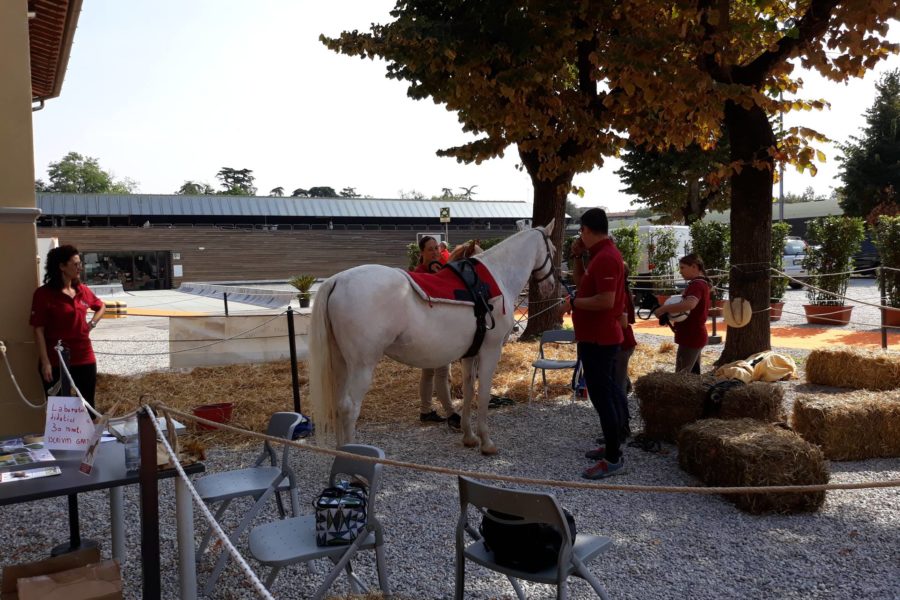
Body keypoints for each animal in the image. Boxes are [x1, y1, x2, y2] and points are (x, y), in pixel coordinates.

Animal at [310, 220, 556, 454]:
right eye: (553, 250)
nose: (550, 287)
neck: (494, 280)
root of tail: (337, 280)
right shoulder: (490, 351)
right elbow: (483, 394)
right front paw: (486, 442)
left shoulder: (470, 354)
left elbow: (469, 391)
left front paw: (469, 437)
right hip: (361, 365)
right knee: (350, 407)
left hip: (341, 363)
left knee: (339, 404)